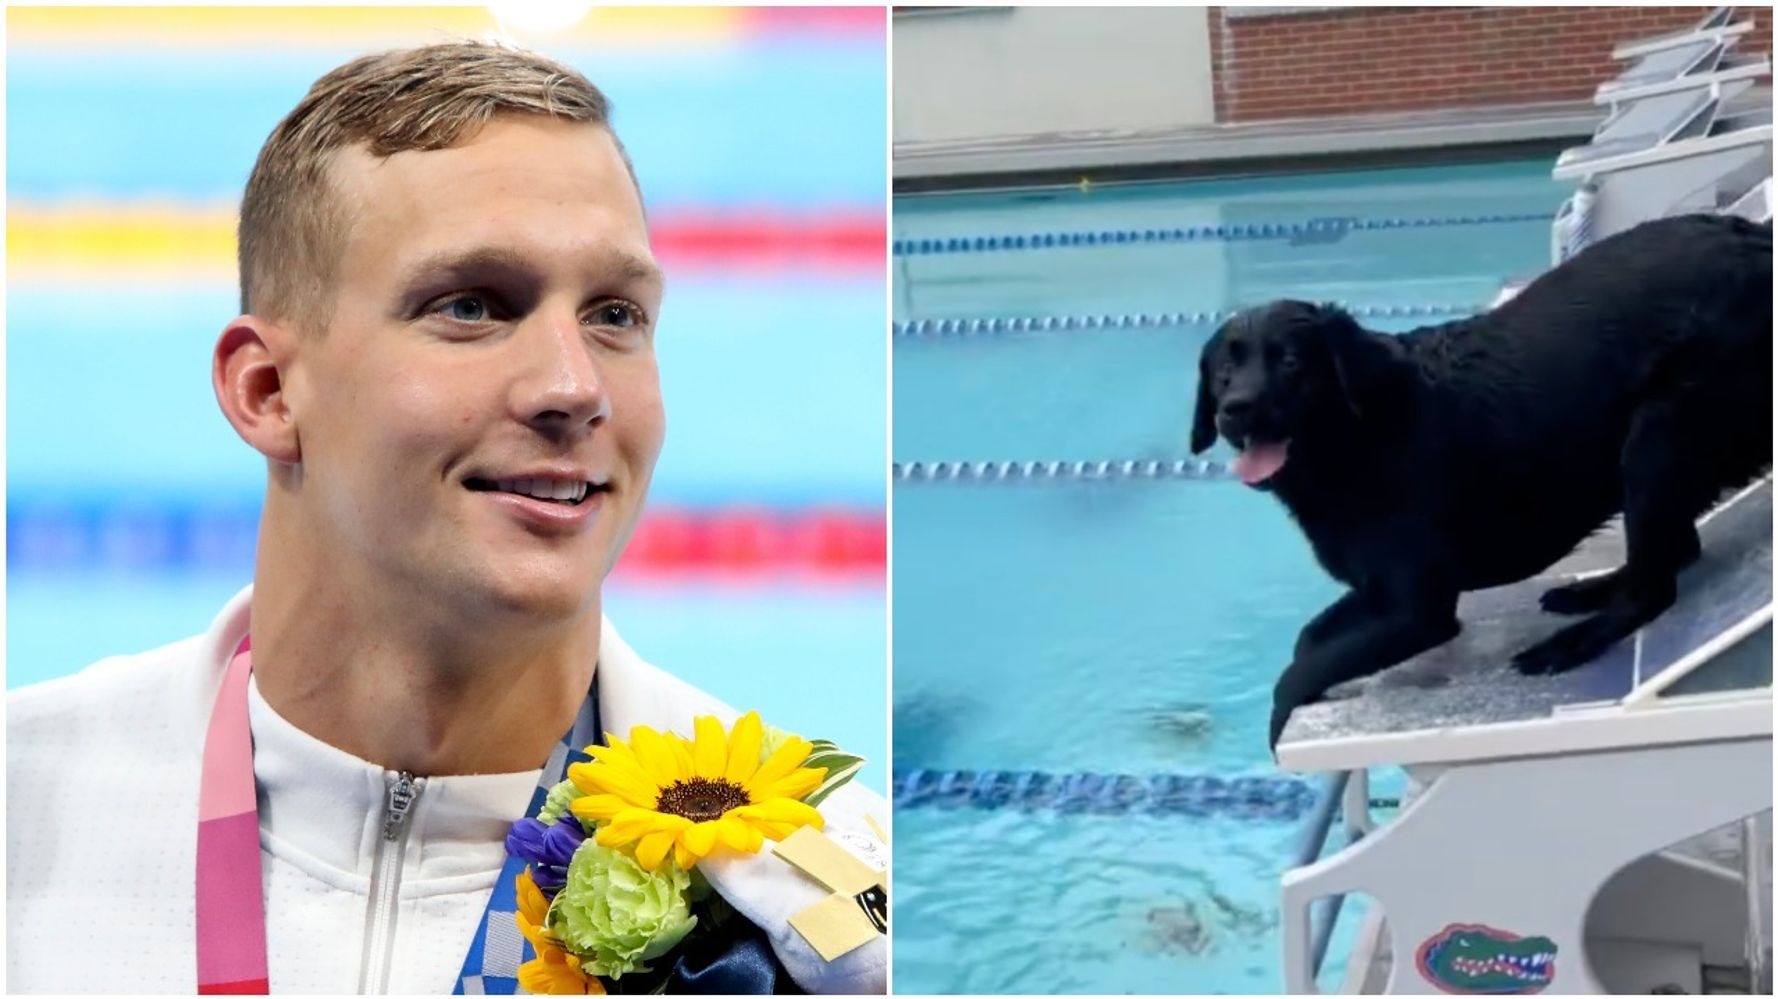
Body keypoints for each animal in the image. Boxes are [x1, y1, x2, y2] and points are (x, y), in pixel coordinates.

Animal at [1187, 217, 1770, 746]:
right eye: (1222, 373)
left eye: (1290, 362)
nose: (1235, 409)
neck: (1357, 436)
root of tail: (1753, 236)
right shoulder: (1378, 589)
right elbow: (1308, 640)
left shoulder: (1419, 611)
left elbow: (1295, 673)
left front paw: (1280, 719)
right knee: (1676, 552)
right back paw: (1592, 590)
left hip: (1657, 436)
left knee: (1655, 588)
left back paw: (1572, 642)